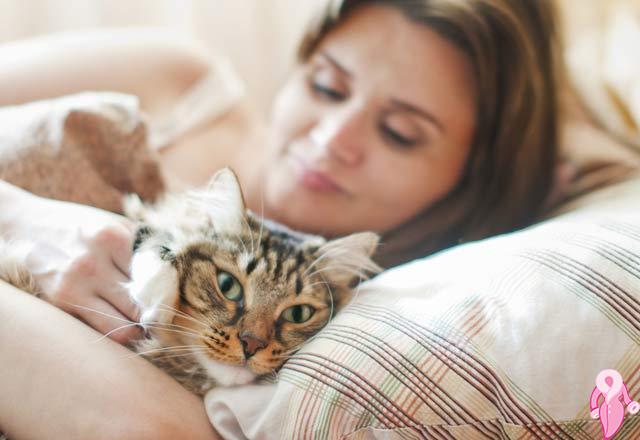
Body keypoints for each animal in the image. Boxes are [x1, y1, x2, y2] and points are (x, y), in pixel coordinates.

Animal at [0, 168, 380, 396]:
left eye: (298, 314)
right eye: (228, 285)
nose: (251, 344)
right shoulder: (152, 225)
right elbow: (158, 242)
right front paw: (155, 303)